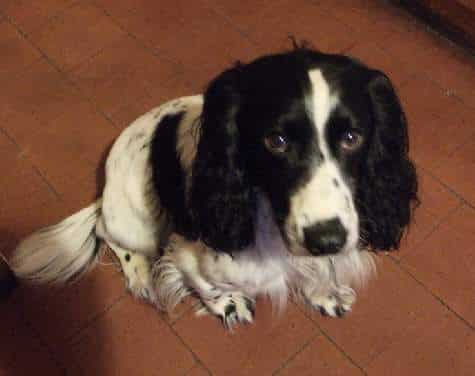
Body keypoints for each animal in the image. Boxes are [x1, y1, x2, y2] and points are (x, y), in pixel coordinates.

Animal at [9, 47, 418, 328]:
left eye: (352, 137)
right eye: (276, 141)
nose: (326, 239)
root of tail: (103, 190)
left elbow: (321, 271)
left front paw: (326, 293)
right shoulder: (189, 253)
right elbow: (206, 284)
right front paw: (229, 305)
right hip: (134, 226)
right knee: (107, 234)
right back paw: (139, 271)